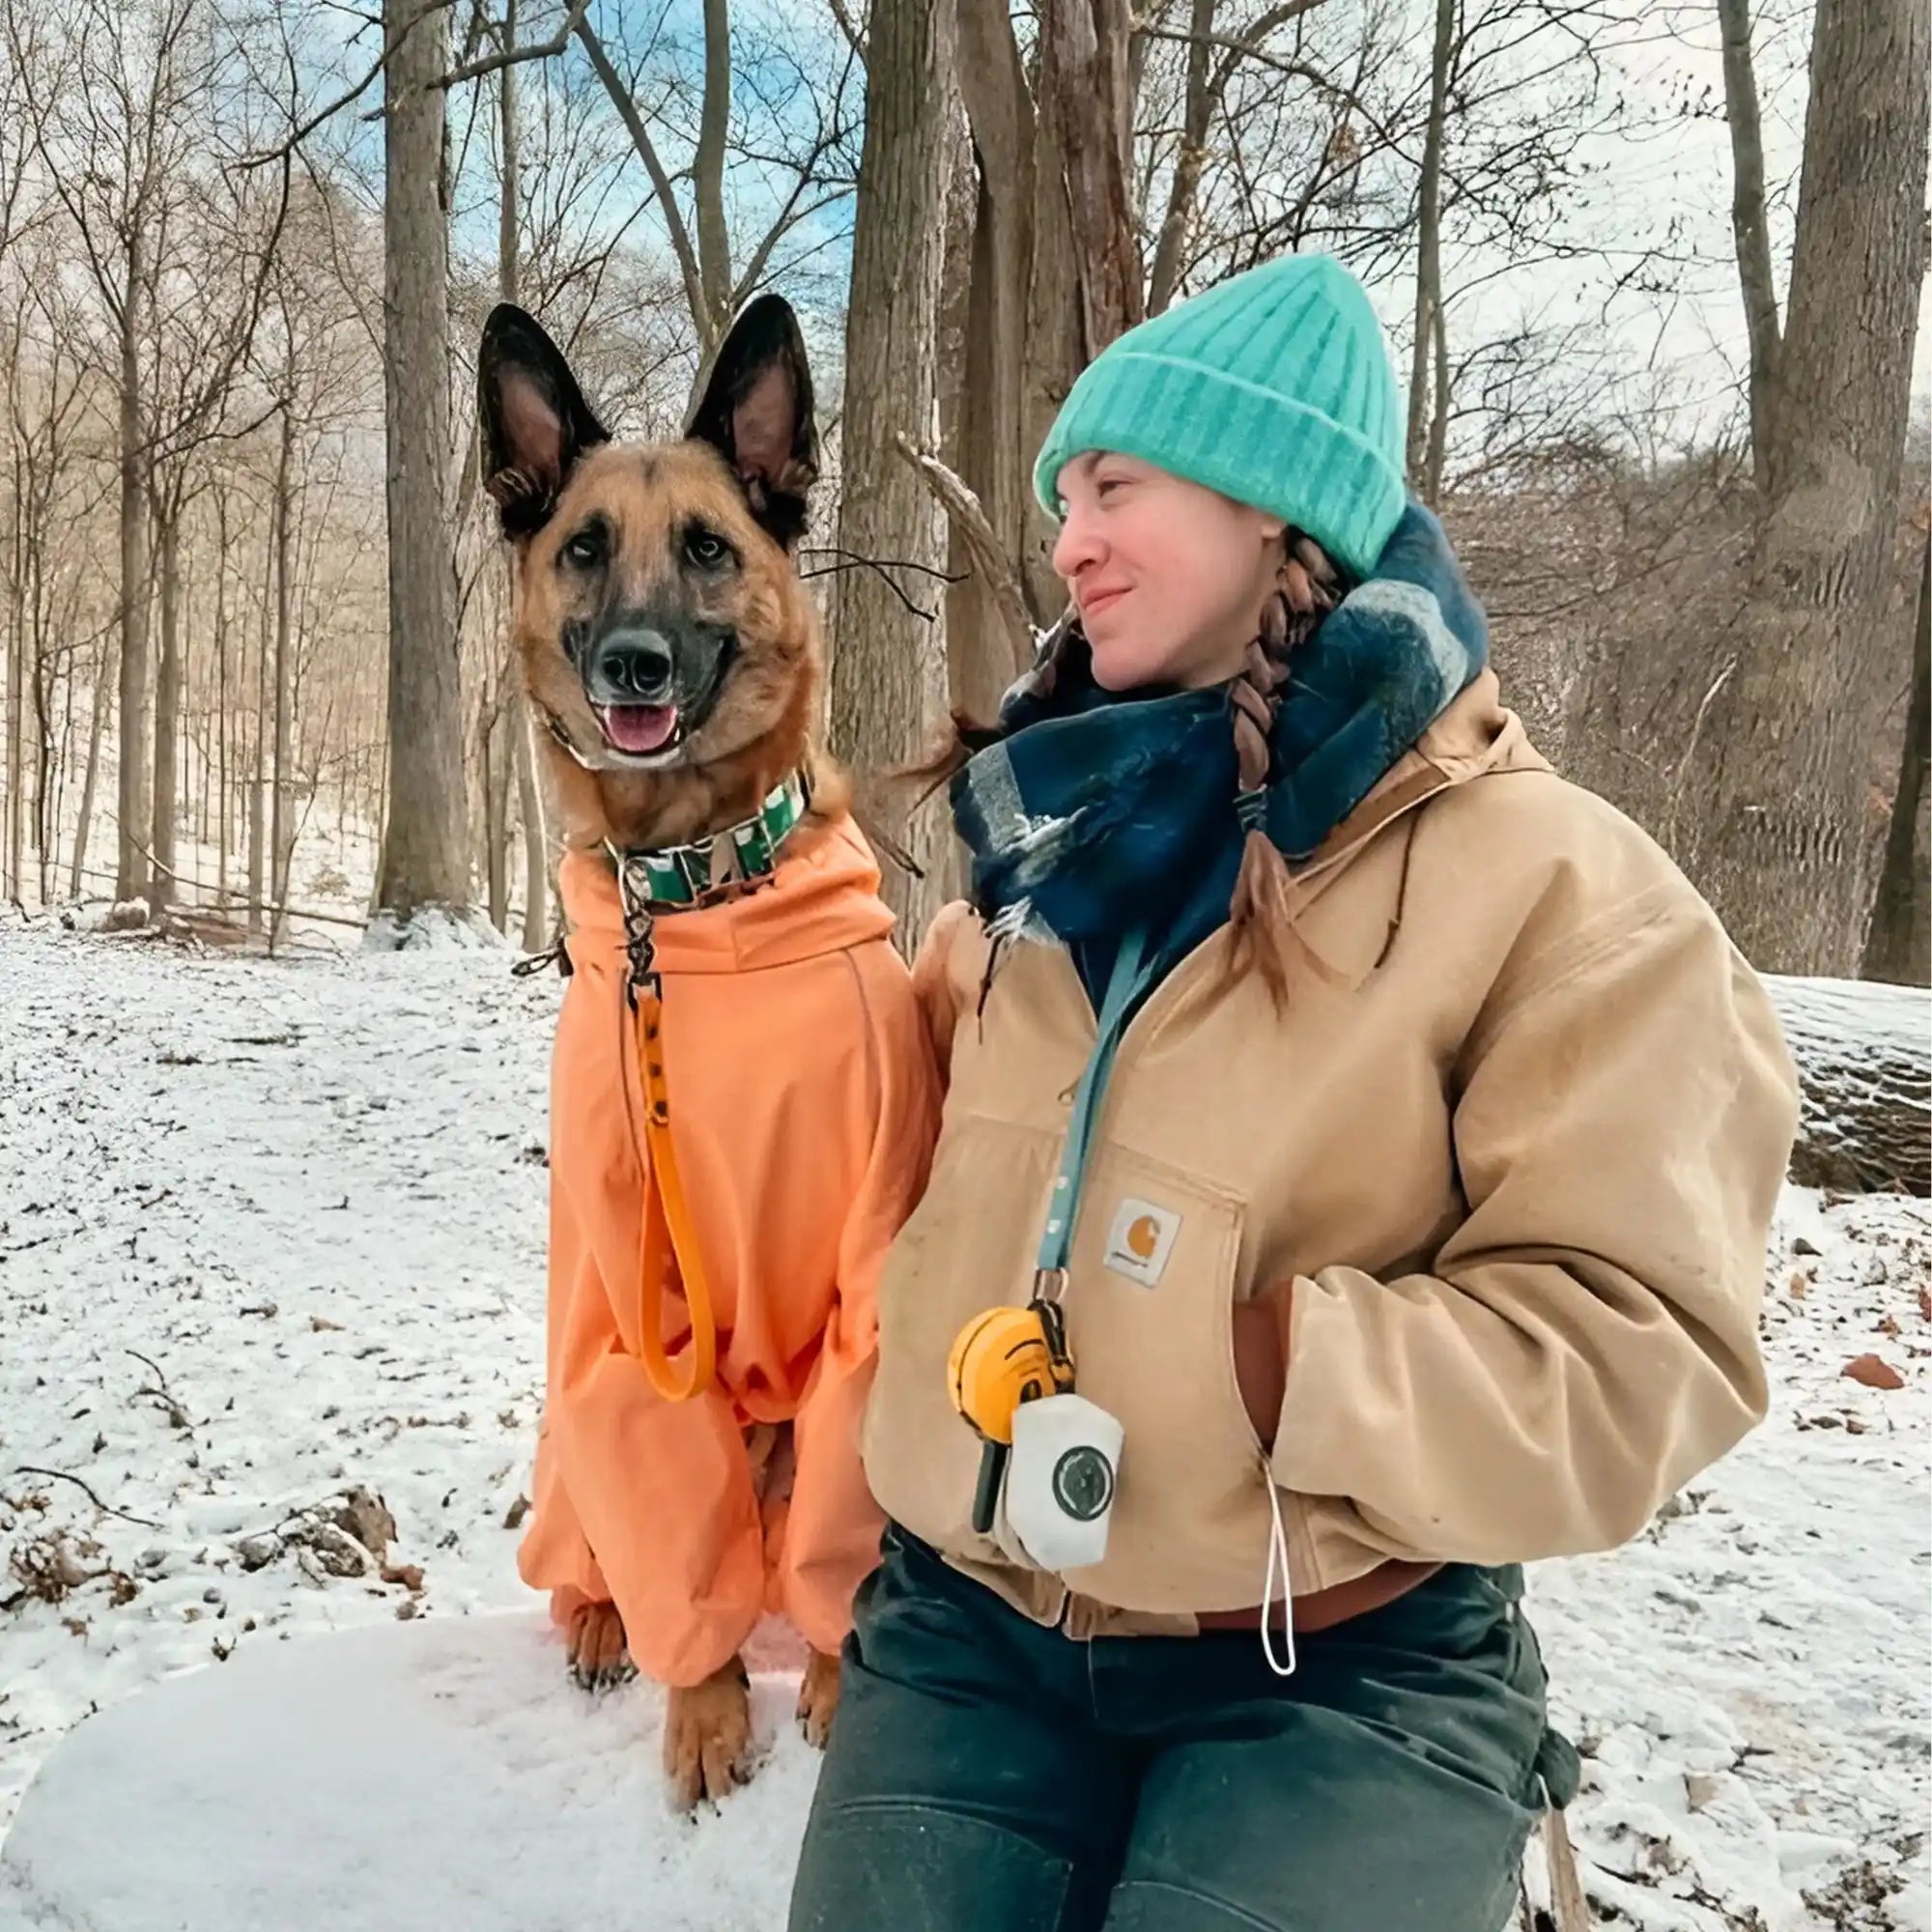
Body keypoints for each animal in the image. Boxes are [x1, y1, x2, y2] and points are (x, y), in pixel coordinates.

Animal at [483, 301, 869, 1808]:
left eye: (708, 546)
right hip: (573, 1412)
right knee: (596, 1550)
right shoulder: (631, 1300)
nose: (634, 665)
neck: (698, 898)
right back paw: (603, 1620)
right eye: (584, 546)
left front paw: (832, 1680)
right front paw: (705, 1709)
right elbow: (674, 1526)